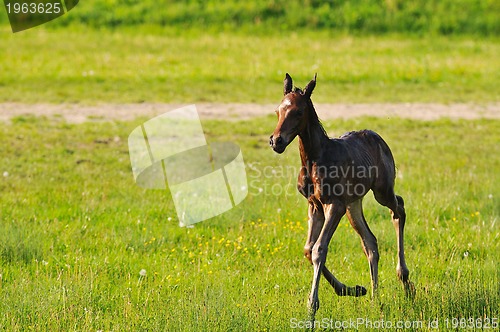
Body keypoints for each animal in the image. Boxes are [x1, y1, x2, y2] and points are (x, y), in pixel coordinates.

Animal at [270, 72, 414, 316]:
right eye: (278, 110)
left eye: (298, 112)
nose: (276, 141)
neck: (315, 159)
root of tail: (378, 138)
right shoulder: (315, 205)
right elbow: (308, 249)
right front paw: (353, 289)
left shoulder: (334, 205)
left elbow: (319, 249)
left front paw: (312, 307)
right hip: (353, 204)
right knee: (370, 242)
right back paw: (375, 298)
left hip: (381, 191)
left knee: (399, 208)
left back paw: (404, 278)